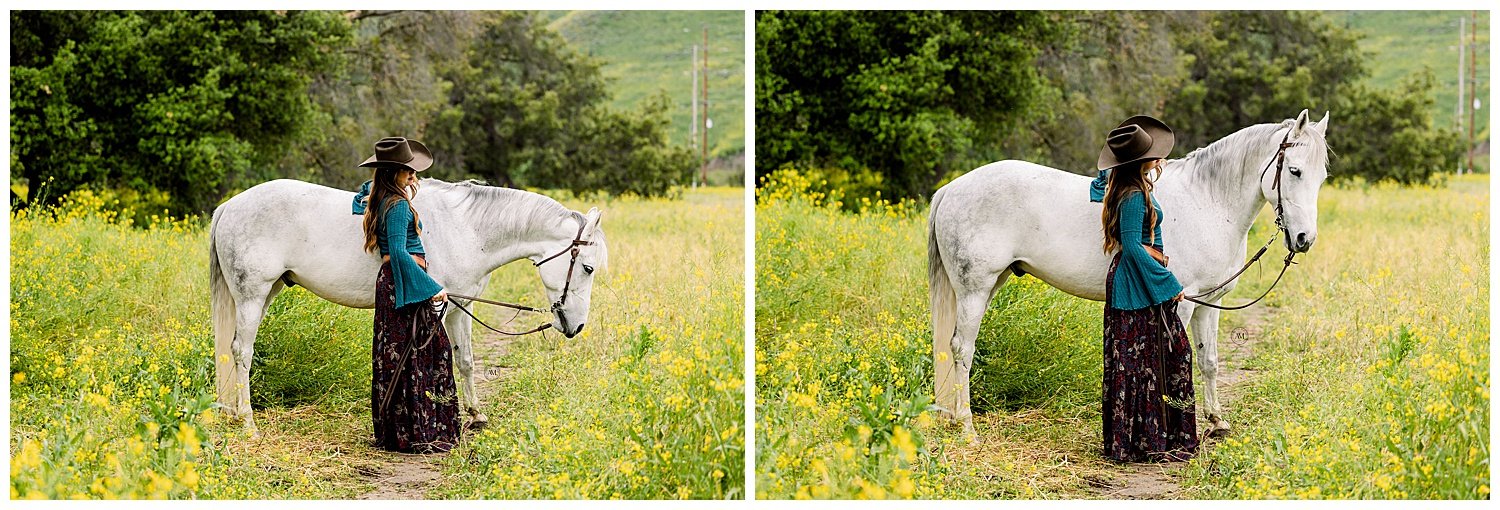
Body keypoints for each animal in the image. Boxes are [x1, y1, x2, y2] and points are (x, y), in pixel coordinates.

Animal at [211, 177, 609, 429]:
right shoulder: (438, 305)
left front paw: (476, 415)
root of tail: (229, 206)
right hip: (252, 296)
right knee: (242, 351)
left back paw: (230, 412)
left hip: (267, 292)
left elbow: (465, 360)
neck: (466, 229)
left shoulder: (461, 303)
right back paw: (247, 422)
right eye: (588, 268)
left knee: (231, 351)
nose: (576, 326)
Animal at [930, 109, 1332, 435]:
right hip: (974, 290)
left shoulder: (1209, 303)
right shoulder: (1184, 303)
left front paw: (1217, 422)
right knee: (962, 348)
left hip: (989, 285)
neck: (1208, 202)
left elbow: (1209, 361)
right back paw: (966, 427)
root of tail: (951, 189)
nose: (1304, 239)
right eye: (1294, 170)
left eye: (1322, 177)